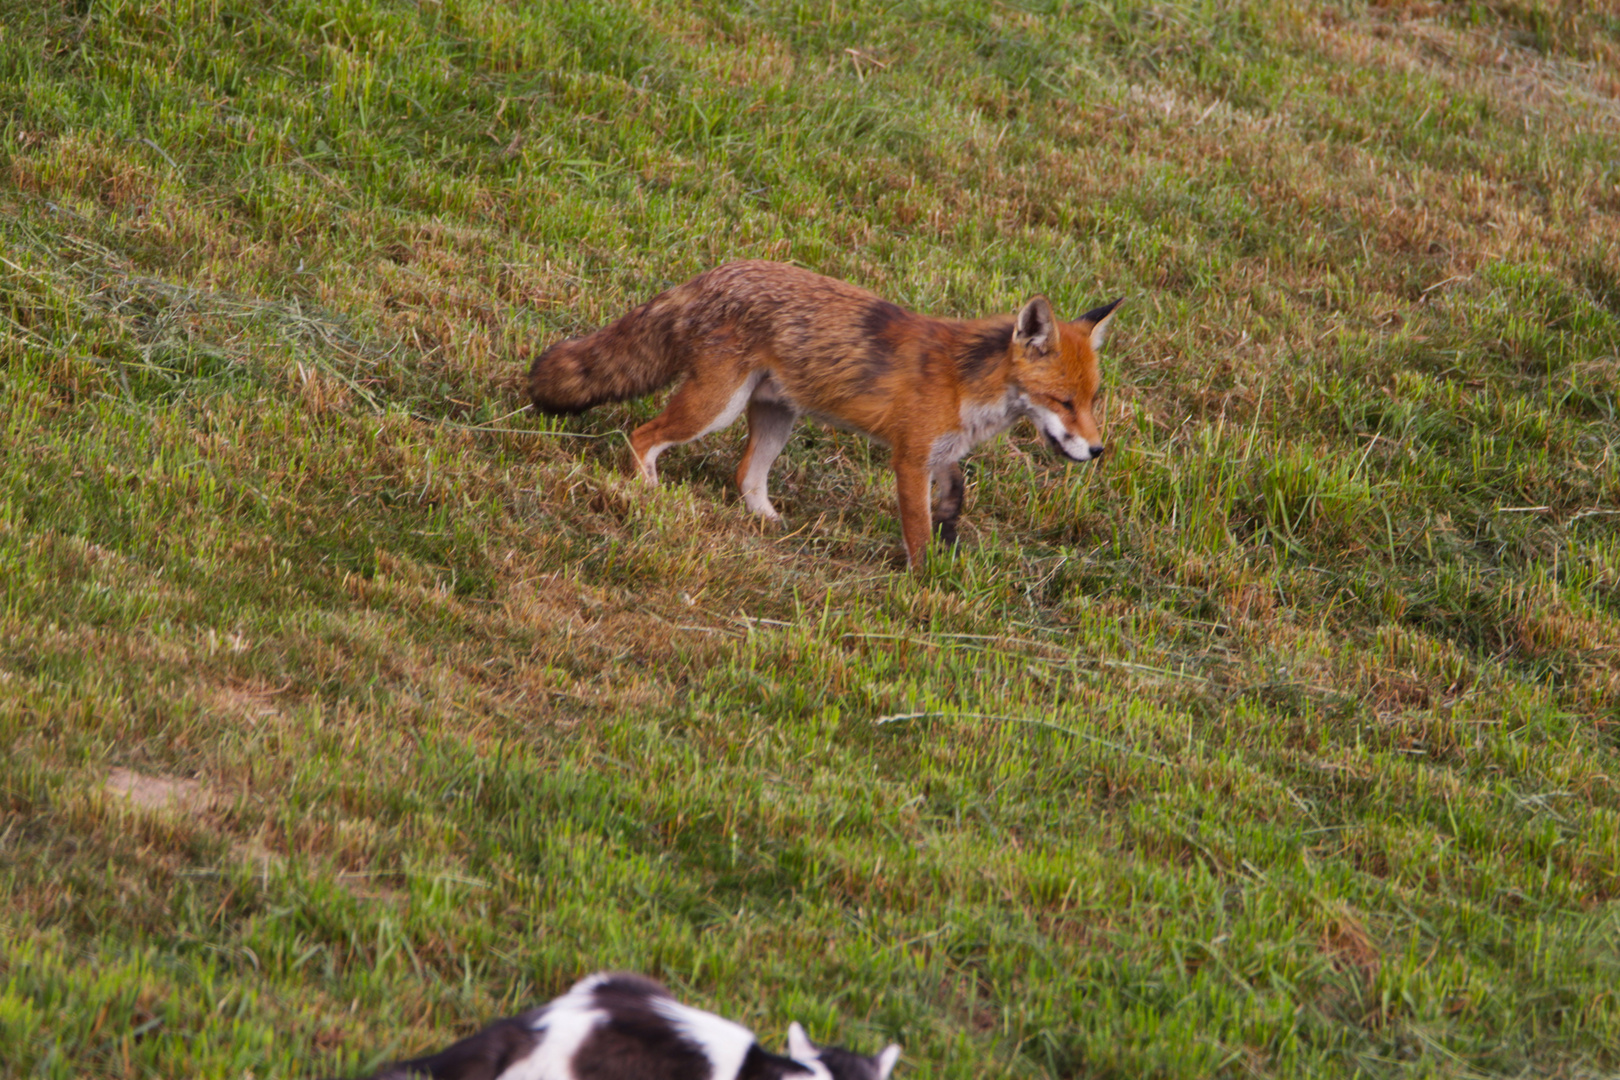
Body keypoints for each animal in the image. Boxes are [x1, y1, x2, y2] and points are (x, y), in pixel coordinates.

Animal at [524, 262, 1121, 566]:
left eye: (1092, 400)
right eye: (1064, 402)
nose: (1097, 451)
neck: (965, 383)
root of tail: (712, 274)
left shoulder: (941, 452)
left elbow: (956, 493)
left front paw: (951, 531)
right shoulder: (909, 458)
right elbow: (917, 528)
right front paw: (926, 581)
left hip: (775, 419)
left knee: (745, 476)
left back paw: (769, 523)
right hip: (713, 409)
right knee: (641, 435)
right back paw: (646, 492)